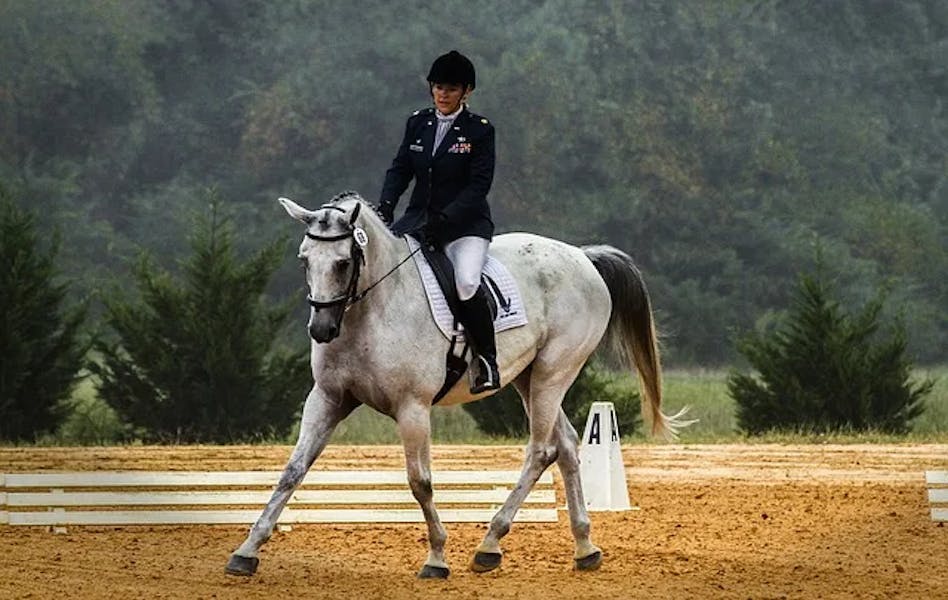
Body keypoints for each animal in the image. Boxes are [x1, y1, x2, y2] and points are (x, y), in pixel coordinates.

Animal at [225, 191, 691, 579]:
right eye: (304, 259)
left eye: (343, 263)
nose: (321, 330)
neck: (370, 312)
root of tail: (582, 256)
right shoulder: (327, 399)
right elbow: (292, 471)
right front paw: (247, 550)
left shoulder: (412, 408)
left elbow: (420, 481)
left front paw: (436, 557)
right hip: (528, 379)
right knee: (568, 445)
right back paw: (584, 547)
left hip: (553, 372)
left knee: (542, 450)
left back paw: (490, 544)